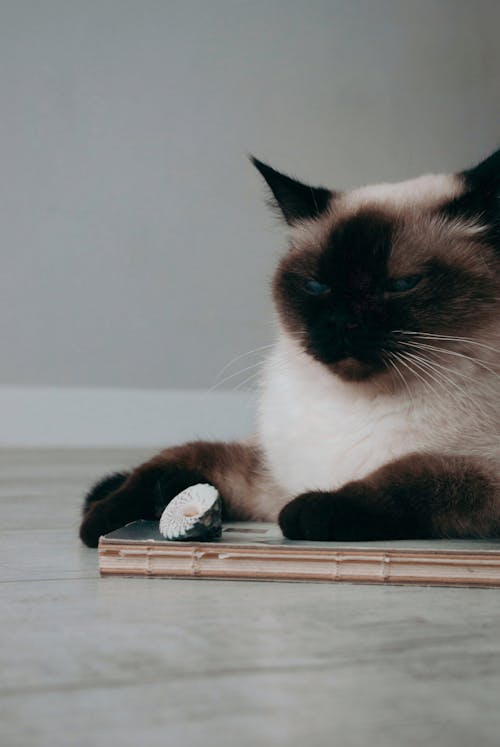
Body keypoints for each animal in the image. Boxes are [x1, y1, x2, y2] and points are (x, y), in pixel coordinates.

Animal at [78, 150, 500, 548]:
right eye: (316, 286)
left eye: (401, 284)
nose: (341, 322)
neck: (352, 404)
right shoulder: (268, 476)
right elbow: (182, 456)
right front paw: (101, 522)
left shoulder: (483, 472)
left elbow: (414, 475)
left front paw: (309, 510)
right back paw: (101, 492)